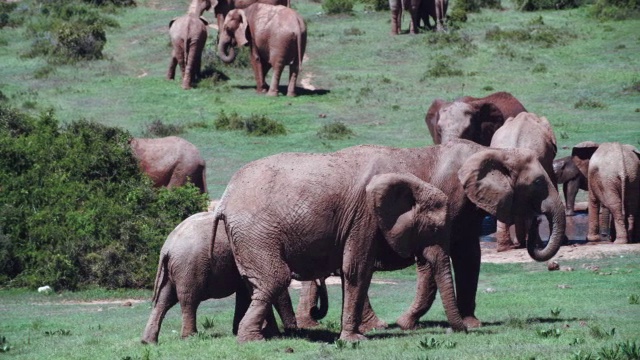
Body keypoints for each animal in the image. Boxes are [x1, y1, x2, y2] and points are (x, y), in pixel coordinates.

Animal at [140, 212, 298, 344]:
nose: (291, 331)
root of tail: (167, 248)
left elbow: (246, 293)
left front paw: (237, 331)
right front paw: (276, 334)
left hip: (171, 270)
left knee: (163, 301)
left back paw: (148, 342)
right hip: (188, 267)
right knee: (189, 300)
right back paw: (190, 337)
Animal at [212, 141, 564, 340]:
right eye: (537, 183)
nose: (536, 223)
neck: (491, 150)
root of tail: (226, 198)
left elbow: (466, 255)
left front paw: (469, 324)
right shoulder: (447, 201)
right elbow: (442, 258)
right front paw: (408, 324)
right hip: (257, 231)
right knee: (276, 277)